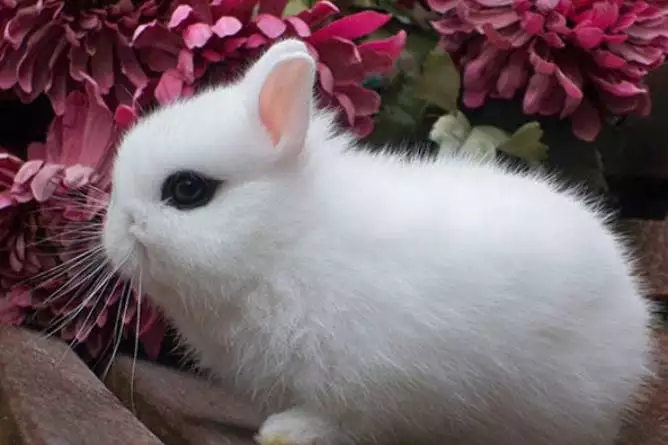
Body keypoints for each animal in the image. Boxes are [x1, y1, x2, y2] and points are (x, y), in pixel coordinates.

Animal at [103, 38, 656, 445]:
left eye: (187, 190)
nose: (111, 238)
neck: (284, 243)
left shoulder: (375, 381)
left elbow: (344, 421)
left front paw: (287, 432)